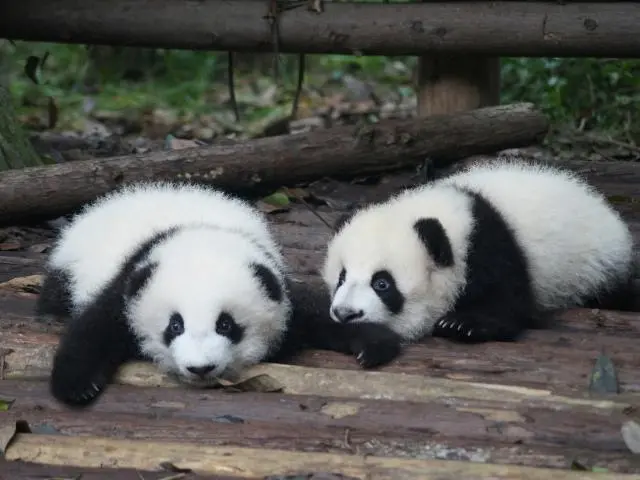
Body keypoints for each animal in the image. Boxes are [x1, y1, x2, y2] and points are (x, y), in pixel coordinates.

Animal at [321, 159, 636, 367]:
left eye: (382, 283)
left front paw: (463, 324)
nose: (345, 314)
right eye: (341, 277)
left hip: (598, 266)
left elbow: (509, 302)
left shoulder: (490, 246)